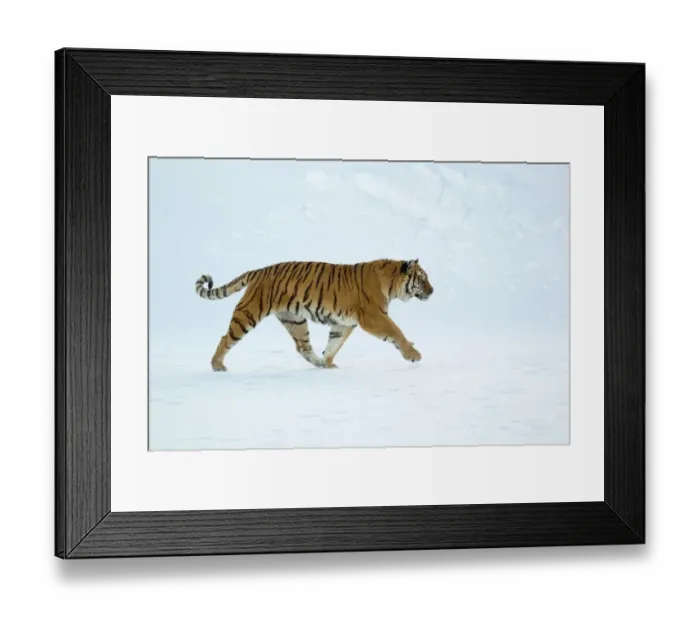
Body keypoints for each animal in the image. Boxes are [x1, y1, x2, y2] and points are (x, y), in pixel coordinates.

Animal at [194, 259, 434, 372]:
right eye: (422, 279)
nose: (432, 291)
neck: (391, 285)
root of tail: (258, 270)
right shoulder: (373, 316)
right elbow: (396, 332)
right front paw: (414, 354)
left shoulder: (344, 323)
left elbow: (334, 344)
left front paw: (328, 364)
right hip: (249, 313)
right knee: (226, 338)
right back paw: (217, 365)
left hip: (294, 319)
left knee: (303, 346)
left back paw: (318, 363)